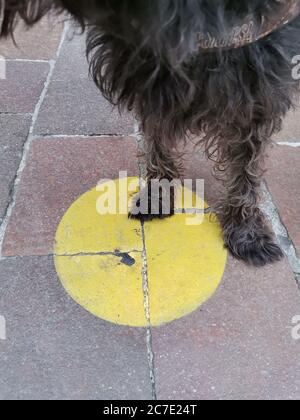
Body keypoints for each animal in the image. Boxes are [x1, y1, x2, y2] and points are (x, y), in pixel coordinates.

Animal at [0, 0, 300, 266]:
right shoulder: (150, 85)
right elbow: (157, 143)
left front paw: (247, 231)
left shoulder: (257, 91)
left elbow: (246, 167)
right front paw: (156, 196)